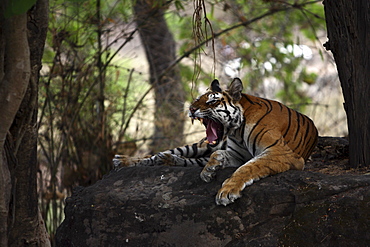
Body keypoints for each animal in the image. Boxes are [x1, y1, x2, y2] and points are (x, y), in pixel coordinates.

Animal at [112, 78, 318, 206]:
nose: (191, 109)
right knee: (160, 154)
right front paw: (211, 169)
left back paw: (168, 160)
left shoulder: (278, 152)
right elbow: (222, 155)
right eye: (197, 99)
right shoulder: (236, 153)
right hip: (199, 144)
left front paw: (225, 190)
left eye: (211, 102)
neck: (237, 131)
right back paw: (123, 160)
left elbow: (246, 168)